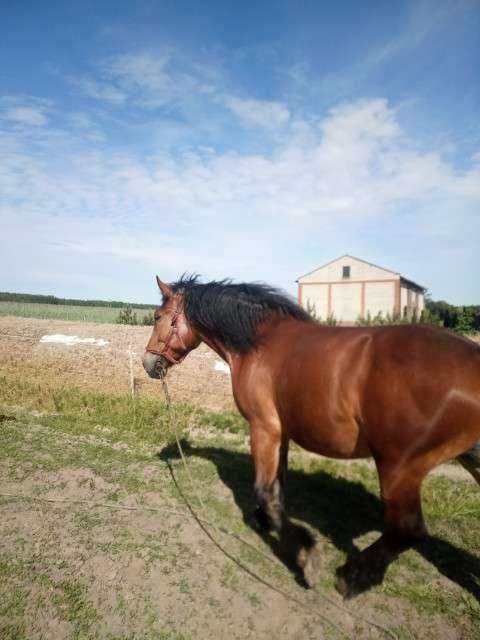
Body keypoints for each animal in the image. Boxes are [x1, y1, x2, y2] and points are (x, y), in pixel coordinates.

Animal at [142, 278, 480, 596]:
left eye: (158, 316)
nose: (148, 364)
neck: (259, 343)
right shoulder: (281, 433)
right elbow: (277, 486)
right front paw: (267, 521)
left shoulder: (264, 428)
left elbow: (265, 491)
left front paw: (305, 553)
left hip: (399, 469)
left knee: (408, 531)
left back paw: (351, 578)